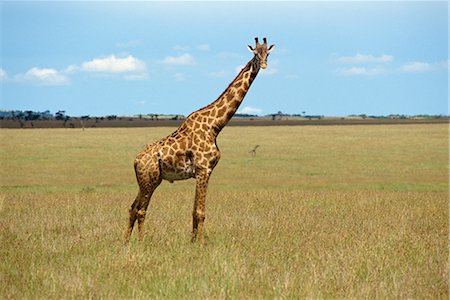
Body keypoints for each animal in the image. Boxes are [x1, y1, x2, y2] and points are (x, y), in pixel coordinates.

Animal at [125, 38, 276, 244]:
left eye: (267, 53)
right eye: (255, 54)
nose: (264, 65)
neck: (215, 126)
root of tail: (135, 160)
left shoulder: (202, 172)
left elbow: (194, 211)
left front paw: (193, 242)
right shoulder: (204, 169)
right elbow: (200, 212)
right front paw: (202, 244)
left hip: (149, 180)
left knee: (133, 208)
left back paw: (125, 242)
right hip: (149, 179)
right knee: (141, 209)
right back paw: (141, 243)